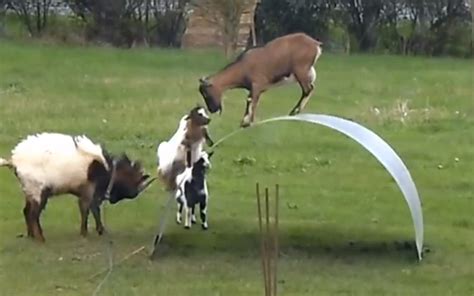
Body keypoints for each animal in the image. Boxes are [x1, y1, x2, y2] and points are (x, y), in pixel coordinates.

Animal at [0, 133, 155, 242]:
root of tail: (14, 161)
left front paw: (98, 231)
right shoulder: (90, 190)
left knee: (26, 211)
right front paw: (88, 233)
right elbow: (88, 208)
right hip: (39, 190)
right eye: (132, 187)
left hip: (29, 190)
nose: (112, 200)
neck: (107, 169)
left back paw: (31, 236)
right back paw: (41, 239)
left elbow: (90, 209)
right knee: (33, 214)